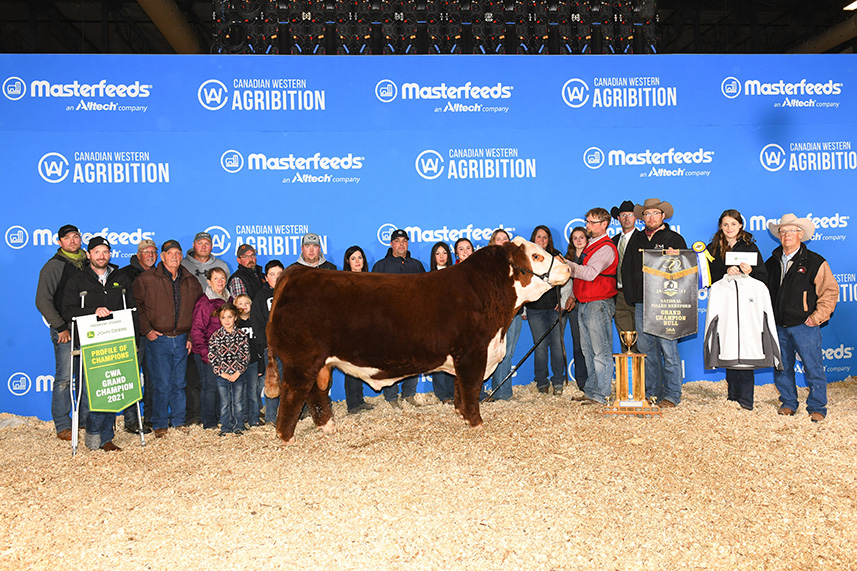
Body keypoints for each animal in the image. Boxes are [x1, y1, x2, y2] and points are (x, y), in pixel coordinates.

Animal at [262, 235, 568, 444]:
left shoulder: (463, 356)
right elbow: (471, 388)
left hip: (318, 362)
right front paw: (476, 423)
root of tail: (297, 272)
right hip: (302, 360)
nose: (566, 267)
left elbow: (459, 388)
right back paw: (286, 437)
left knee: (315, 393)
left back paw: (327, 426)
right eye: (536, 256)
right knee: (293, 394)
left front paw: (460, 415)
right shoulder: (473, 352)